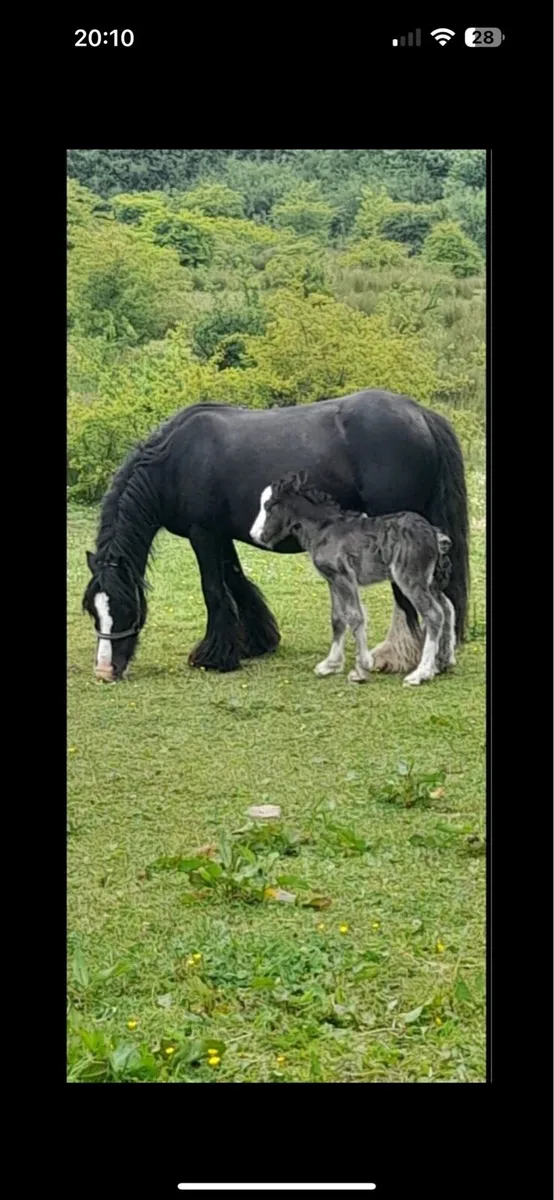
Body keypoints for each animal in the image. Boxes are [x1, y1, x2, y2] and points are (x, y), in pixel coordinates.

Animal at [250, 470, 456, 686]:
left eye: (269, 505)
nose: (255, 535)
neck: (324, 529)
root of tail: (434, 533)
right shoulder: (332, 580)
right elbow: (338, 618)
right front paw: (330, 665)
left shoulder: (344, 577)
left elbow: (355, 616)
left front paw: (361, 669)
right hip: (430, 582)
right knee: (447, 608)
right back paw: (442, 663)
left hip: (410, 579)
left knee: (434, 614)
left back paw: (420, 673)